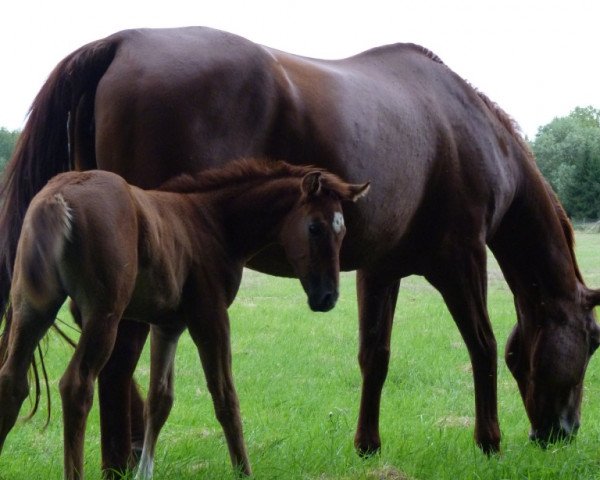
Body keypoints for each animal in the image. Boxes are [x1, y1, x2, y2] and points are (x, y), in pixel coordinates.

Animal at [1, 27, 600, 476]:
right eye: (594, 341)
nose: (564, 433)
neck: (468, 130)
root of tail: (119, 41)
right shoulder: (462, 259)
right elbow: (482, 346)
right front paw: (489, 440)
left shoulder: (377, 271)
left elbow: (375, 356)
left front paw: (367, 446)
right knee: (113, 369)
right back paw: (117, 464)